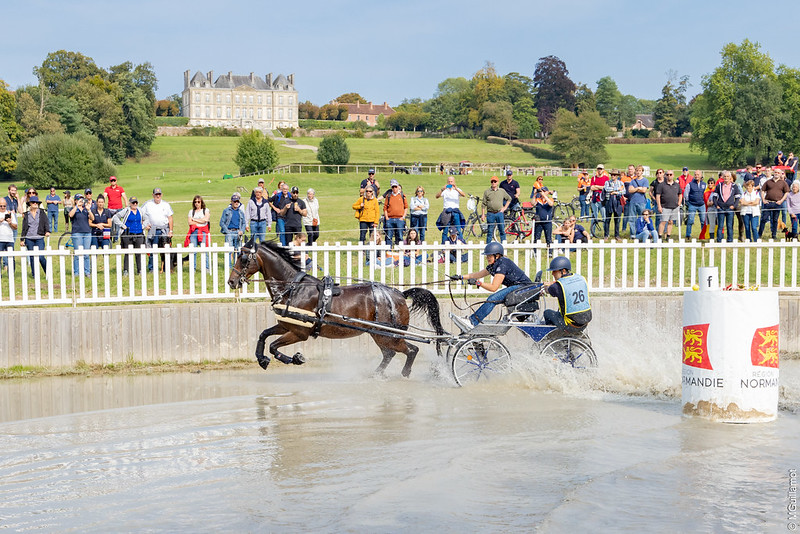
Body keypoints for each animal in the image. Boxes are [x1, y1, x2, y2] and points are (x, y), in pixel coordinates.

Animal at [228, 241, 446, 378]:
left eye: (243, 258)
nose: (231, 281)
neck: (294, 288)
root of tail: (399, 294)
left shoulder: (299, 333)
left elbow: (274, 347)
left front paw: (296, 358)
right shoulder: (286, 325)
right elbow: (263, 335)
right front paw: (261, 359)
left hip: (388, 334)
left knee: (411, 350)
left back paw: (405, 373)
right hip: (379, 334)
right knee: (389, 354)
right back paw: (376, 374)